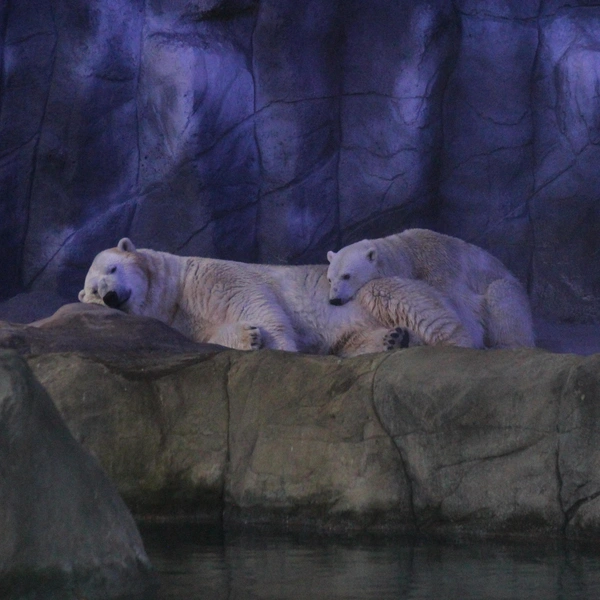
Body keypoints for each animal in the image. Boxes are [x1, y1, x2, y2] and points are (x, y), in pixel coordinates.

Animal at [77, 238, 476, 354]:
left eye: (112, 269)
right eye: (93, 292)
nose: (110, 297)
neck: (178, 288)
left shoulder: (213, 276)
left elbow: (255, 301)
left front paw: (279, 348)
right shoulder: (182, 321)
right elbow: (210, 333)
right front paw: (248, 336)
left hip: (367, 292)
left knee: (408, 303)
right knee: (354, 341)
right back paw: (393, 339)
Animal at [326, 230, 536, 352]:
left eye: (347, 276)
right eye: (330, 278)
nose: (334, 300)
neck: (409, 256)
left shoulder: (440, 273)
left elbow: (465, 317)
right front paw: (401, 338)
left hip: (507, 289)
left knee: (501, 297)